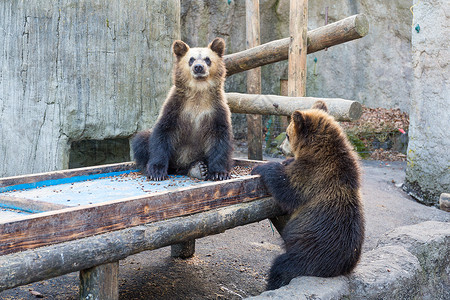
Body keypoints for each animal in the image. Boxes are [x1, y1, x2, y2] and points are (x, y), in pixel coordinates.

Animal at [132, 38, 232, 182]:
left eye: (207, 59)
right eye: (191, 59)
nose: (198, 67)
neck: (198, 91)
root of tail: (180, 166)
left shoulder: (216, 109)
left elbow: (220, 138)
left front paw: (219, 173)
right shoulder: (176, 106)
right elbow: (163, 132)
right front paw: (157, 171)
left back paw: (198, 168)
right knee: (141, 140)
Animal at [251, 101, 364, 290]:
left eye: (287, 134)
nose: (280, 148)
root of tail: (340, 269)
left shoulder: (313, 174)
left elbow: (286, 185)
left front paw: (260, 167)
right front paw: (285, 161)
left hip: (308, 253)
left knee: (281, 267)